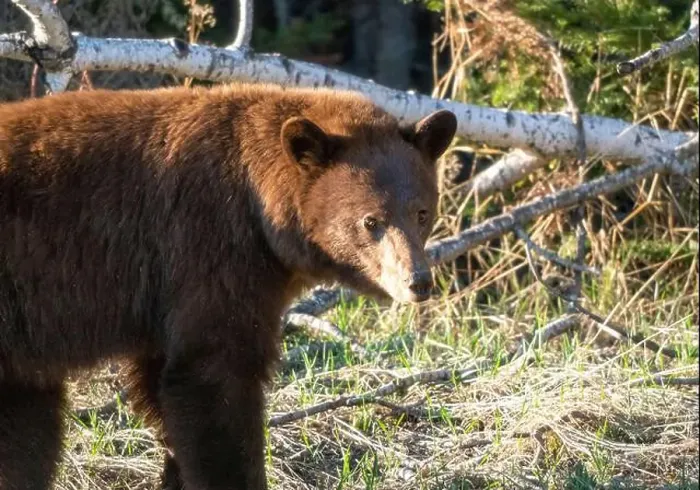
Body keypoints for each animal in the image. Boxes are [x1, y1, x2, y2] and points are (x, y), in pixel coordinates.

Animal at [0, 82, 457, 490]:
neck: (260, 208)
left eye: (421, 212)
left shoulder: (167, 299)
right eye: (370, 221)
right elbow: (214, 382)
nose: (417, 281)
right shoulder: (208, 249)